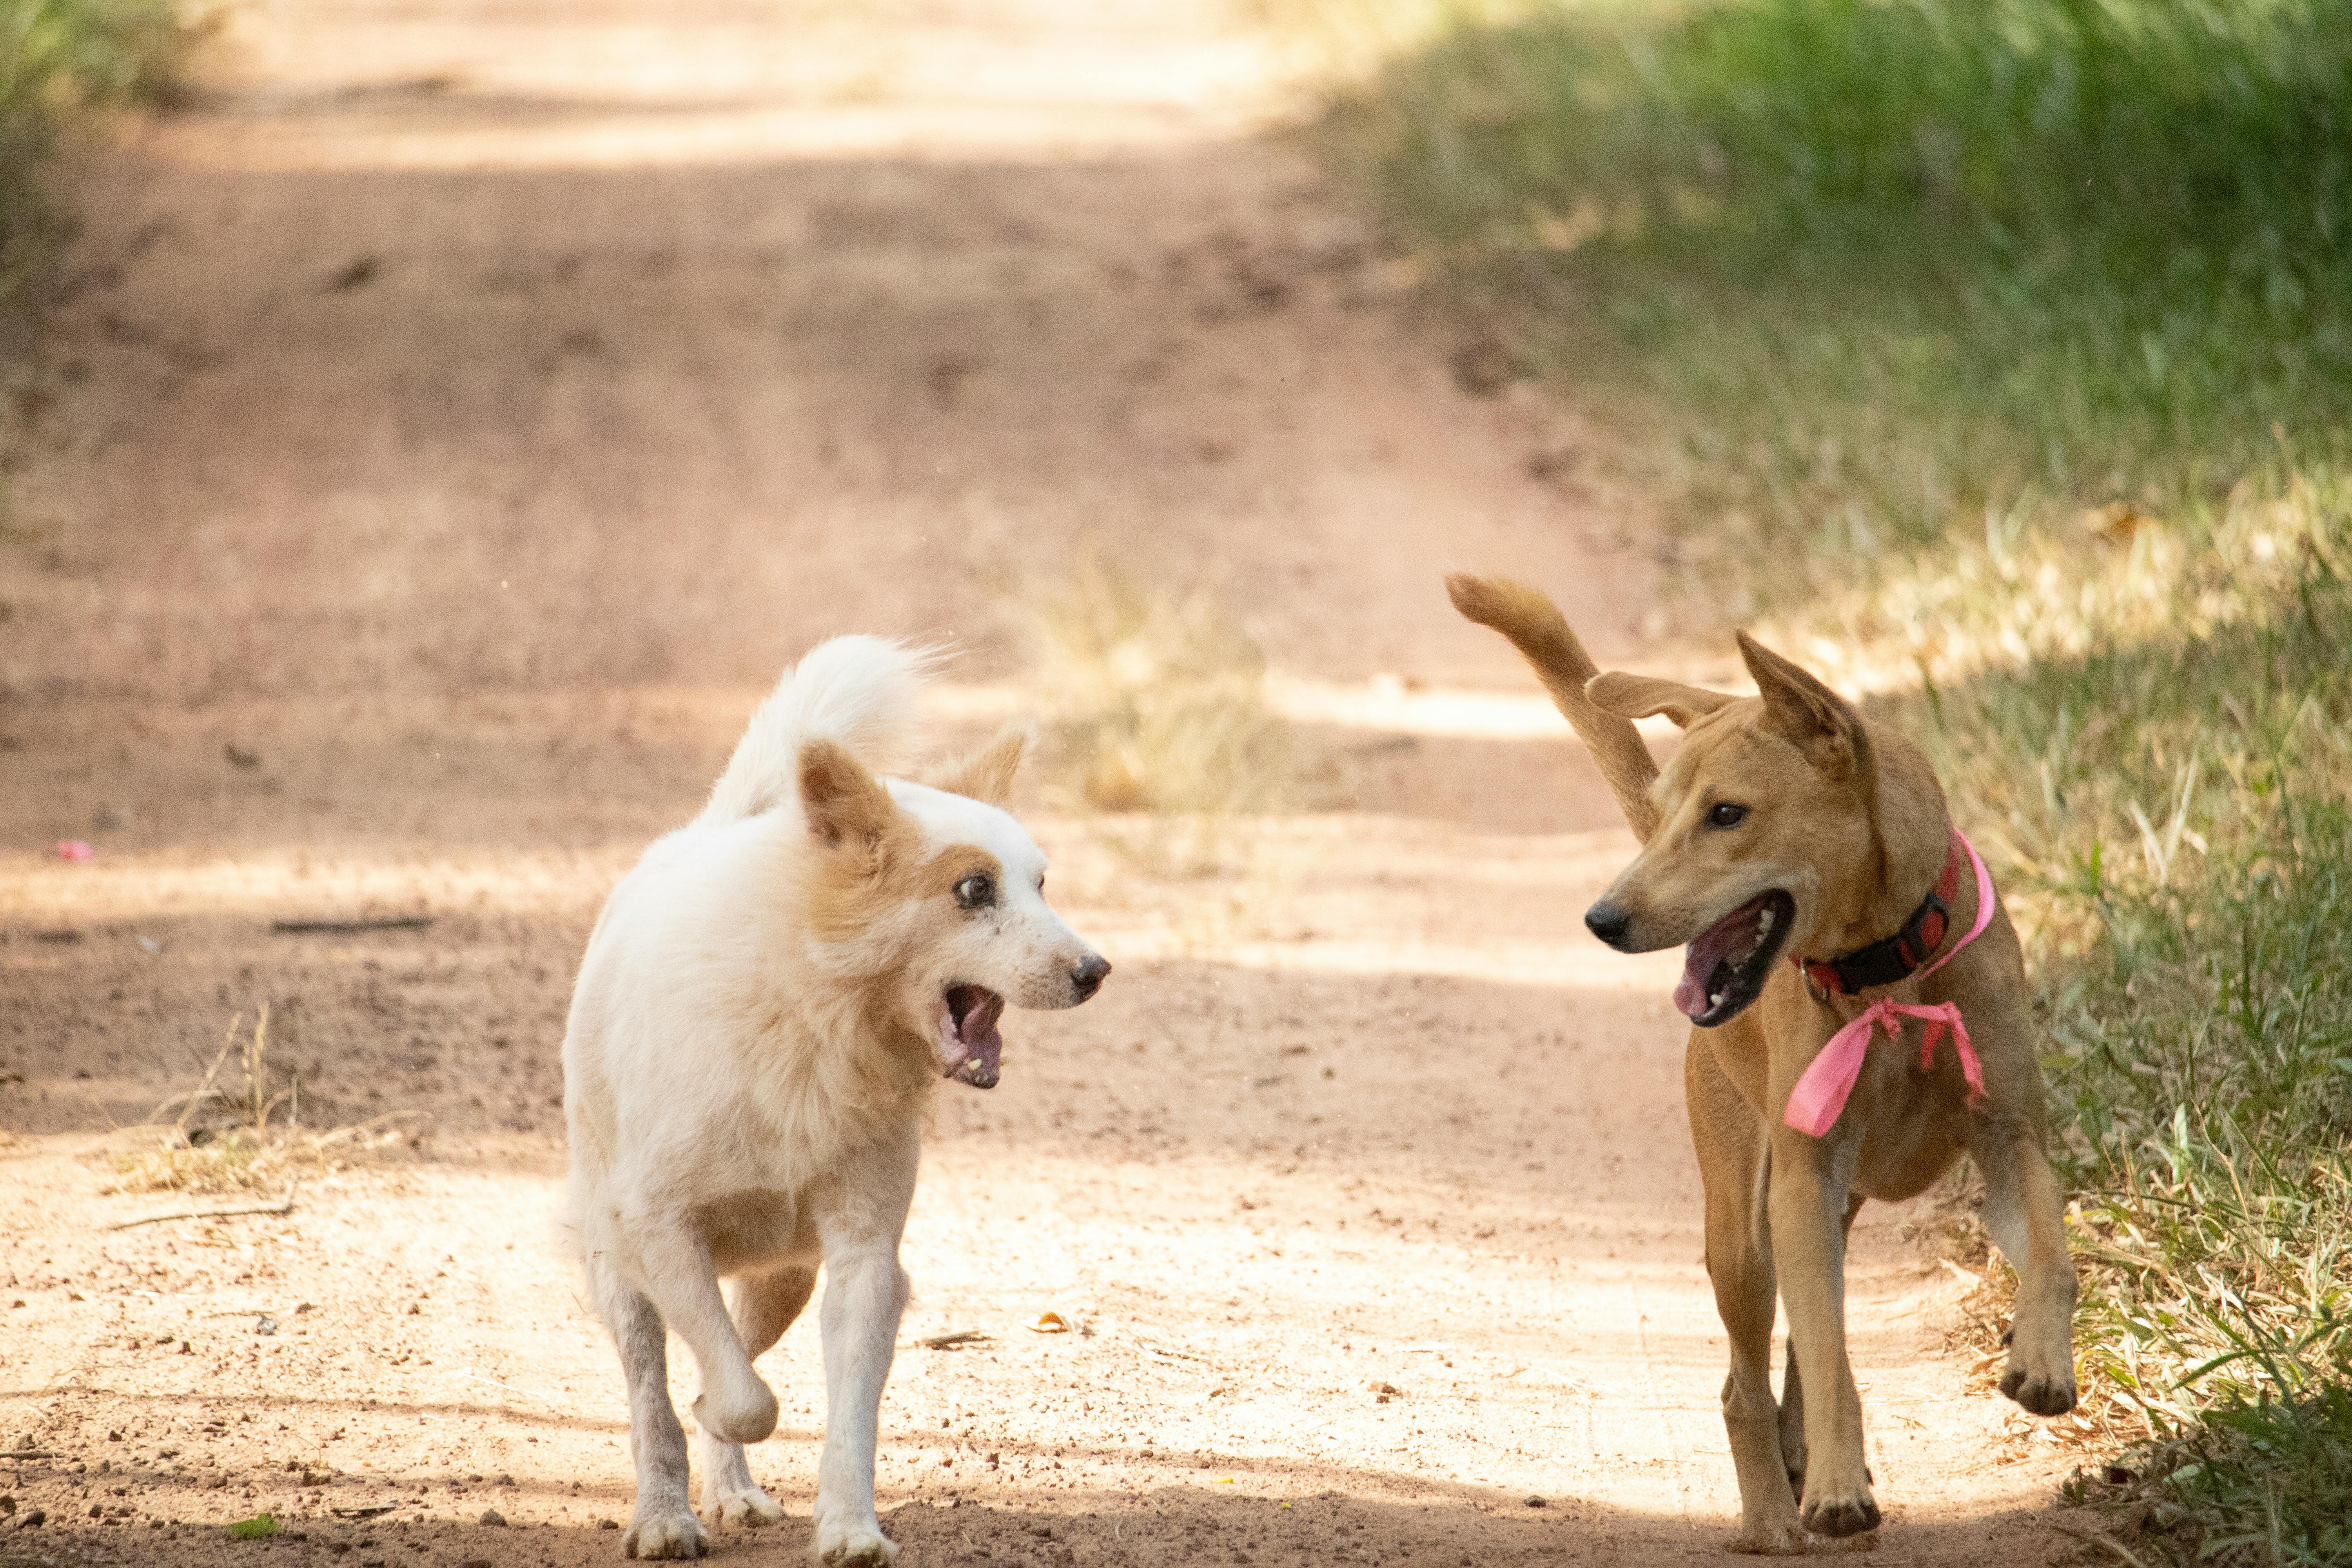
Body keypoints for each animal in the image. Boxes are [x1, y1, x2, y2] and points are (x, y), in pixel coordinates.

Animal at [560, 635, 1110, 1561]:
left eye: (1043, 883)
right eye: (974, 889)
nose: (1095, 971)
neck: (814, 1020)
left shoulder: (864, 1257)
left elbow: (838, 1413)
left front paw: (851, 1529)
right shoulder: (661, 1229)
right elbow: (740, 1398)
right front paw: (703, 1447)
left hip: (787, 1277)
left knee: (728, 1353)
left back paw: (732, 1494)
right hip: (619, 1268)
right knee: (655, 1389)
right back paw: (666, 1515)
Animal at [1449, 581, 2079, 1561]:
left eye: (1727, 813)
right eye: (1672, 808)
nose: (1603, 917)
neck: (1889, 976)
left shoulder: (2009, 1139)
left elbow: (2052, 1252)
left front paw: (2043, 1360)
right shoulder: (1802, 1181)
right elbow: (1827, 1352)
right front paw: (1834, 1488)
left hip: (1827, 1209)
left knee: (1791, 1351)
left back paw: (1802, 1457)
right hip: (1746, 1228)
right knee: (1745, 1378)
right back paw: (1776, 1511)